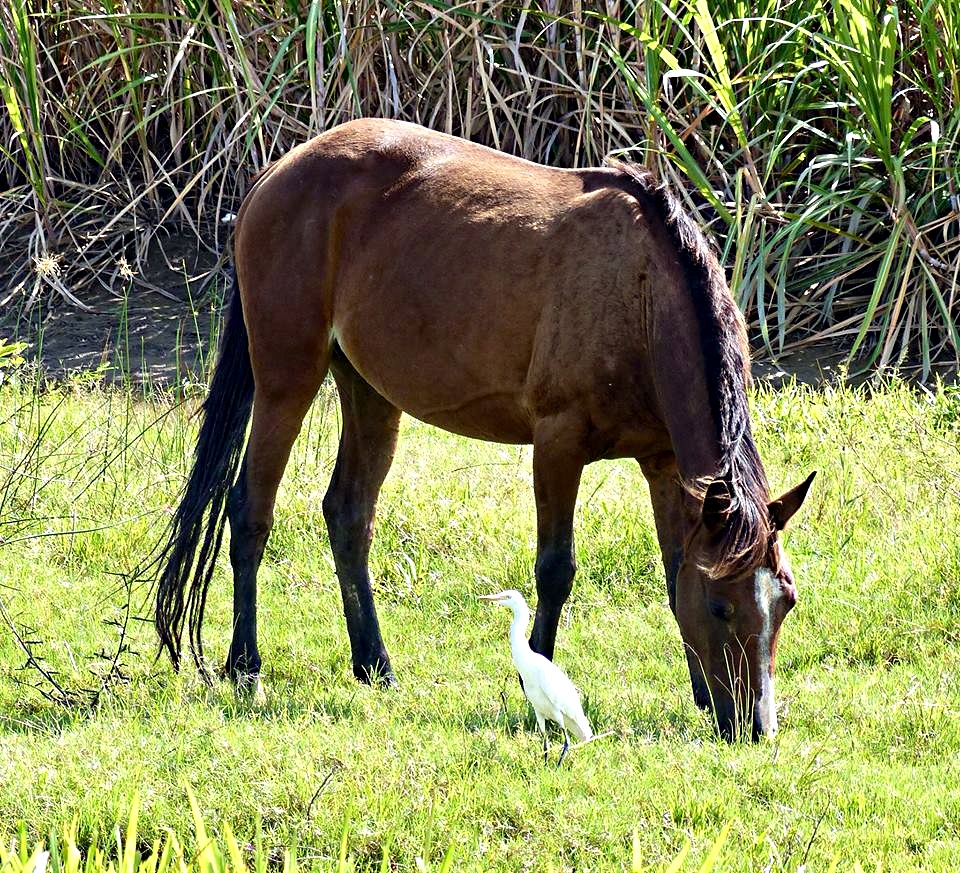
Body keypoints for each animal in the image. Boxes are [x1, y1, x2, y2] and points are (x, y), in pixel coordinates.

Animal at [154, 116, 812, 740]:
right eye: (723, 608)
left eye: (785, 601)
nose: (754, 727)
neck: (641, 295)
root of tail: (276, 174)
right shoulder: (557, 444)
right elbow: (555, 570)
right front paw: (535, 682)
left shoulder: (664, 463)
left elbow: (676, 571)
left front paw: (699, 693)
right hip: (287, 378)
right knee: (250, 510)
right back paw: (246, 666)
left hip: (369, 391)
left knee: (348, 515)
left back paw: (374, 664)